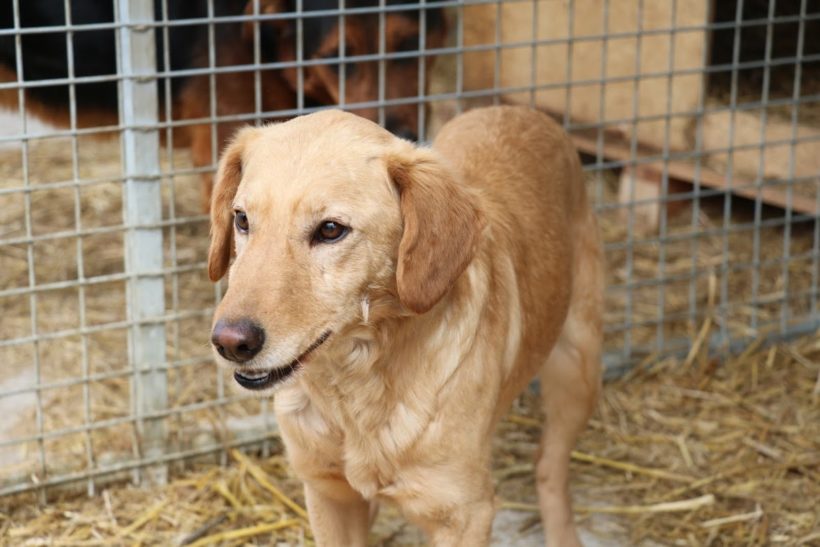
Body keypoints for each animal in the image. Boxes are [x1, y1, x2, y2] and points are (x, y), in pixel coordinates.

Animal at [208, 106, 603, 546]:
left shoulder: (465, 515)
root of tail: (520, 110)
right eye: (242, 219)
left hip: (578, 369)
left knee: (549, 465)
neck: (355, 386)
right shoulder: (328, 493)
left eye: (330, 229)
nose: (230, 342)